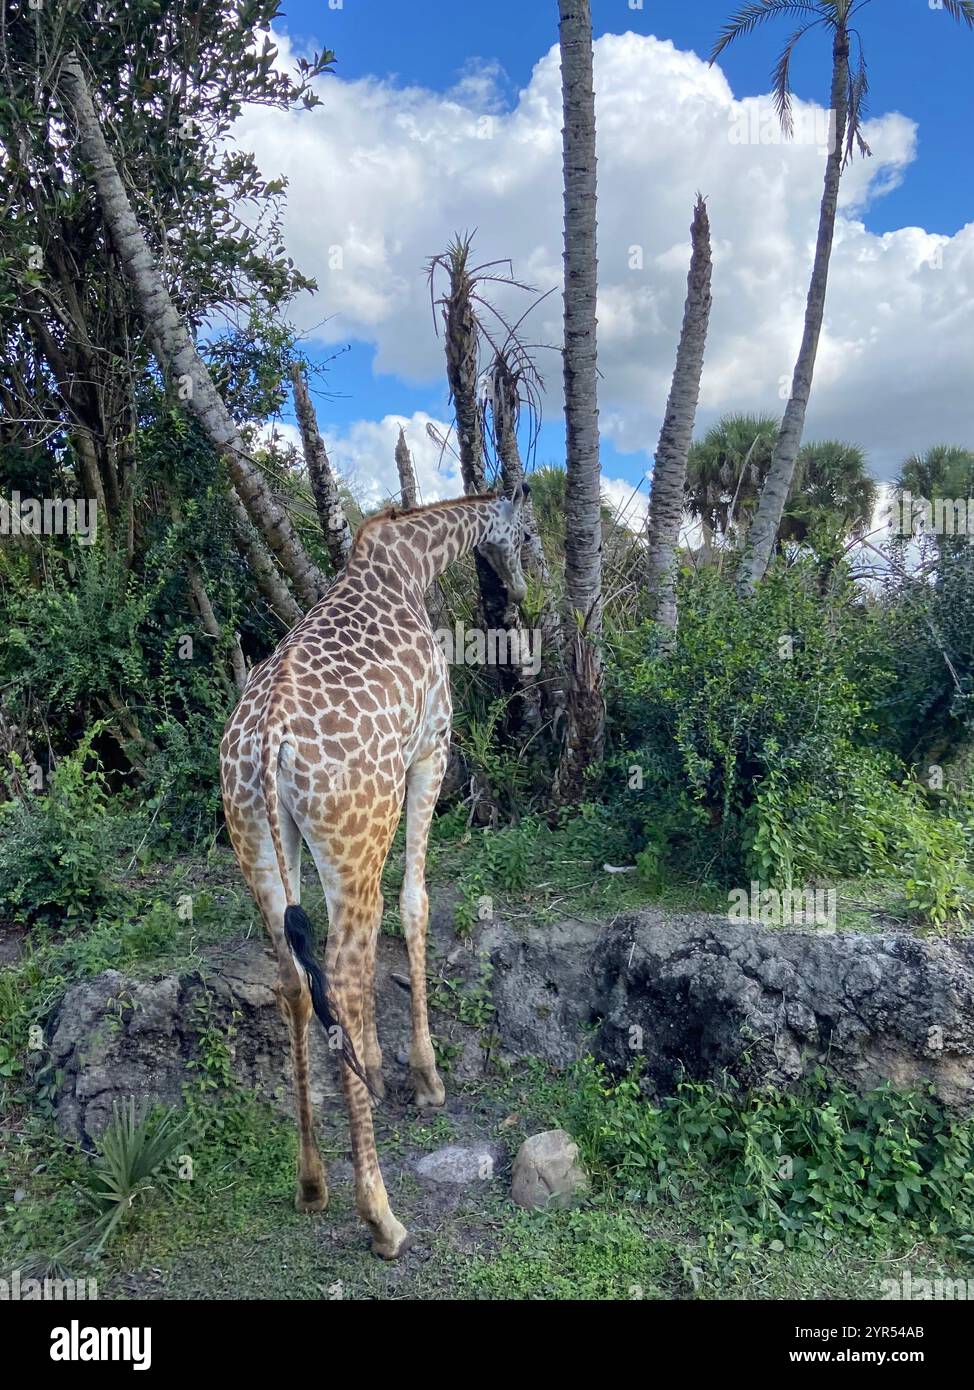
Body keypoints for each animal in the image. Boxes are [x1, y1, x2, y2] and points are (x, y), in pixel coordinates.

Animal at [220, 488, 528, 1258]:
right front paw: (423, 1077)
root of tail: (266, 742)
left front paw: (384, 1071)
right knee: (344, 971)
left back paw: (312, 1183)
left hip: (260, 841)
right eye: (526, 535)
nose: (519, 589)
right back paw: (380, 1214)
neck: (411, 561)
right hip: (352, 833)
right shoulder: (433, 750)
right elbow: (416, 903)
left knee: (296, 980)